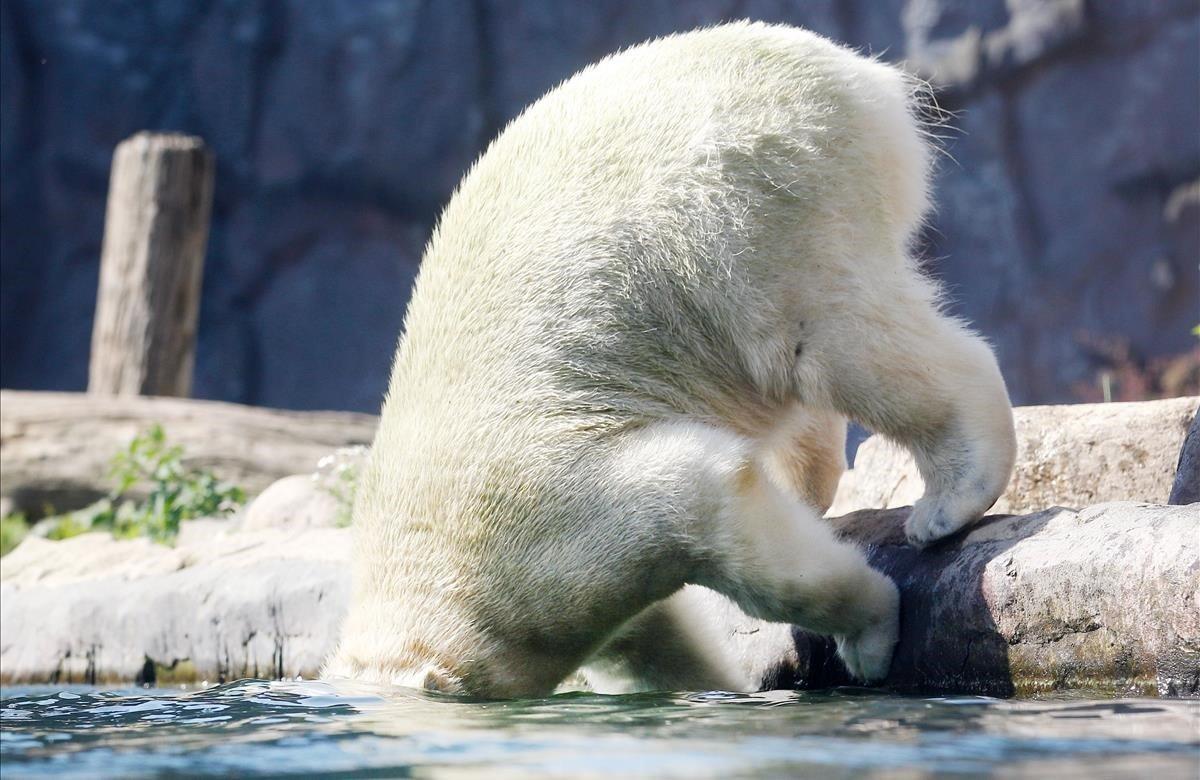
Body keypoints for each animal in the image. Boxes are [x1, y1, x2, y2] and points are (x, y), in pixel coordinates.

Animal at [324, 21, 1017, 696]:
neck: (423, 552)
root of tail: (862, 78)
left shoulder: (544, 521)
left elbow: (701, 499)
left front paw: (868, 638)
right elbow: (651, 637)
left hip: (754, 210)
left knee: (833, 345)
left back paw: (948, 500)